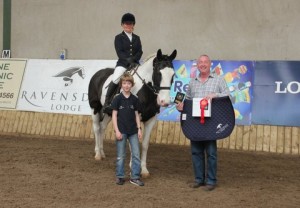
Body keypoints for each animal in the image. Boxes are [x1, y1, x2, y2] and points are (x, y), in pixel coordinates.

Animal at [87, 48, 176, 177]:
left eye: (173, 75)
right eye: (159, 73)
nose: (165, 101)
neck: (145, 91)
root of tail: (98, 73)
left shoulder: (151, 119)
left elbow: (144, 144)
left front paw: (144, 169)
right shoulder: (133, 118)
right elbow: (133, 142)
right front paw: (133, 166)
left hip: (109, 113)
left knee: (102, 128)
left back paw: (102, 153)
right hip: (94, 107)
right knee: (96, 128)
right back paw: (98, 154)